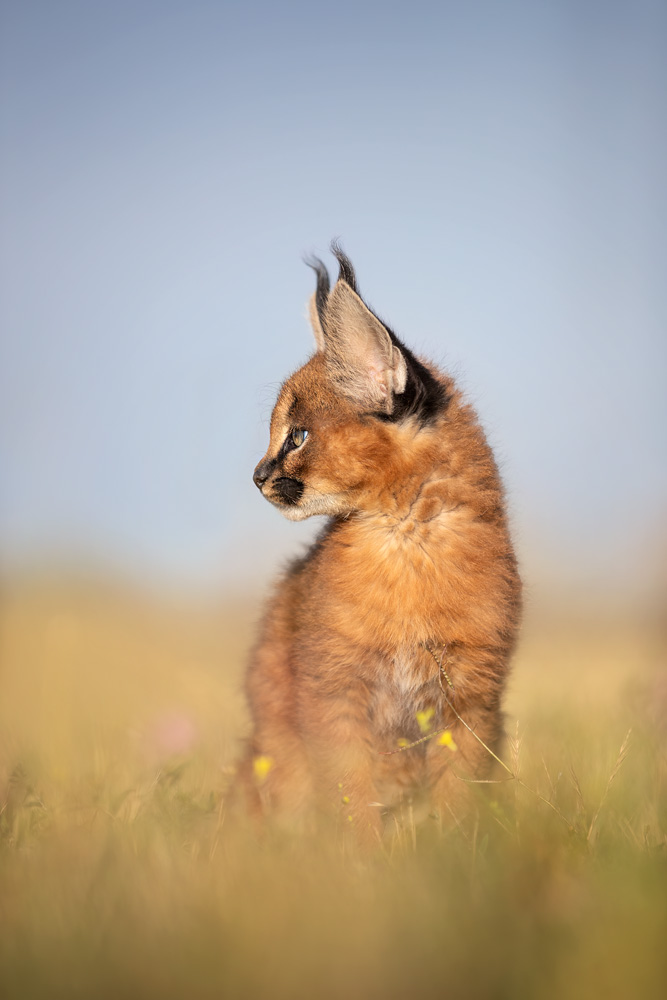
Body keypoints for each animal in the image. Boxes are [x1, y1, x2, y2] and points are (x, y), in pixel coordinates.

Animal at [235, 244, 520, 844]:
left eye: (297, 435)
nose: (256, 475)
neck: (405, 538)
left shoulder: (472, 697)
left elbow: (459, 793)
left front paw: (454, 855)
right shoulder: (333, 692)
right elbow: (351, 793)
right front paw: (363, 861)